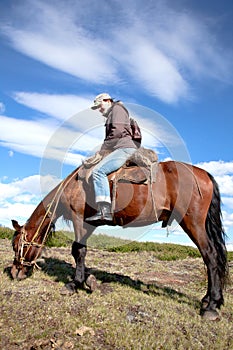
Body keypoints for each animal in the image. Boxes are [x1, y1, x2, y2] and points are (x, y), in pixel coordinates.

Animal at [10, 160, 228, 322]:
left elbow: (78, 250)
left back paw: (211, 306)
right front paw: (88, 280)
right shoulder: (90, 224)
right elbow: (82, 251)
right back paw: (208, 299)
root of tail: (204, 174)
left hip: (193, 223)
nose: (14, 272)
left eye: (15, 246)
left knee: (210, 256)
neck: (73, 186)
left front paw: (74, 283)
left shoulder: (79, 218)